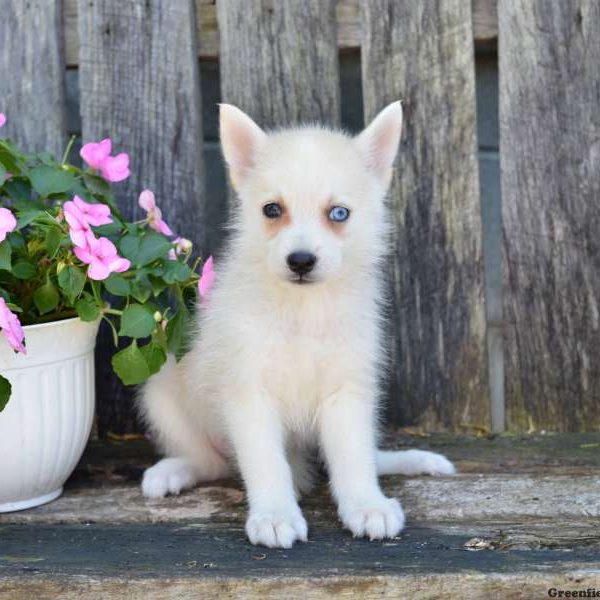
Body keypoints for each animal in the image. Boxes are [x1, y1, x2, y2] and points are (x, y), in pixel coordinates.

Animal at [139, 102, 454, 548]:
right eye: (272, 209)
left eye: (338, 213)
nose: (301, 261)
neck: (304, 310)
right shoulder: (249, 393)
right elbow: (266, 464)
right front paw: (274, 515)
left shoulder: (347, 392)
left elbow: (354, 459)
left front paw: (366, 506)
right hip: (162, 392)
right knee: (211, 462)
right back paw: (173, 471)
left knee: (365, 455)